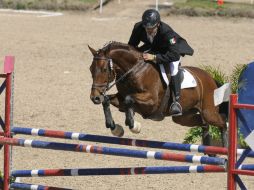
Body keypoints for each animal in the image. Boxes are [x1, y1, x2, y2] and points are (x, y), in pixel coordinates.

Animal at [88, 41, 227, 145]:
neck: (134, 71)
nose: (95, 97)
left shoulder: (152, 102)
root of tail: (210, 78)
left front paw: (133, 125)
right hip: (183, 117)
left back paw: (224, 149)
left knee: (222, 122)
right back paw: (210, 152)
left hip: (208, 111)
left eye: (104, 69)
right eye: (90, 69)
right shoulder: (121, 99)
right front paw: (114, 127)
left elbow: (129, 99)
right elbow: (108, 100)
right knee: (204, 124)